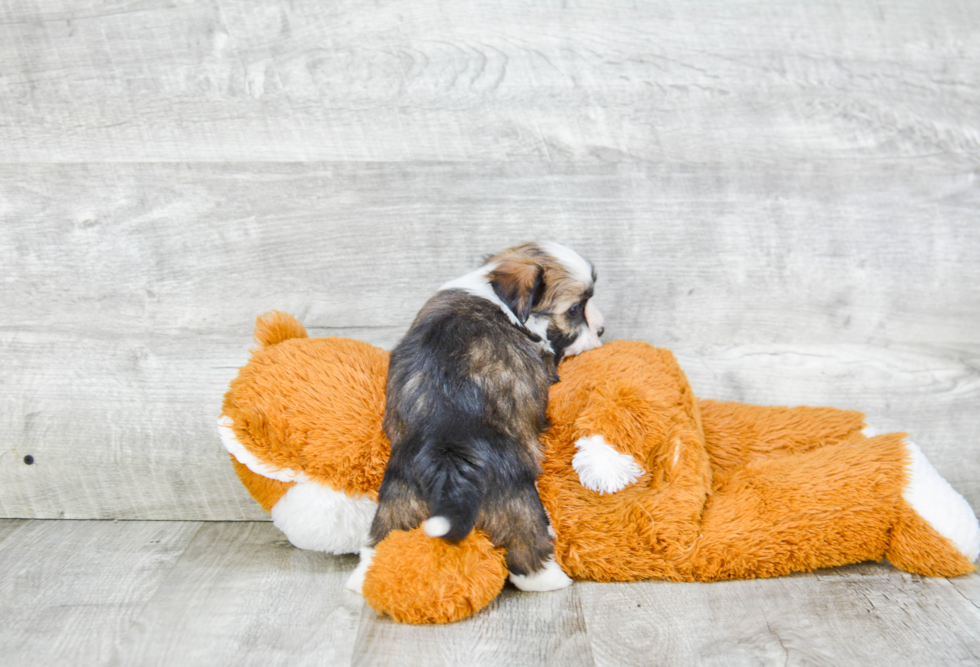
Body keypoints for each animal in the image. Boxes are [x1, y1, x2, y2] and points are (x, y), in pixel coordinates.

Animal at [348, 243, 600, 592]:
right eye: (576, 309)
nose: (601, 329)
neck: (493, 291)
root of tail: (449, 460)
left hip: (399, 499)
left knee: (379, 543)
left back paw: (362, 579)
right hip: (516, 501)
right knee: (527, 556)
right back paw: (553, 576)